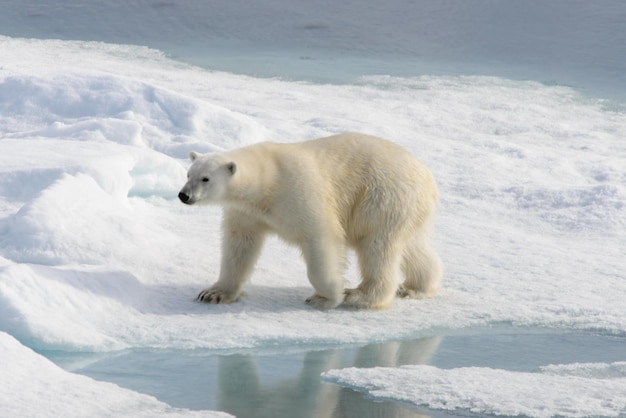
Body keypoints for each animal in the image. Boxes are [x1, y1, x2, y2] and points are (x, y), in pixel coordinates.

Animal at [176, 132, 438, 308]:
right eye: (188, 174)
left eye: (206, 178)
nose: (184, 195)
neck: (267, 180)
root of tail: (428, 177)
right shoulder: (247, 212)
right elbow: (239, 245)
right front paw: (213, 293)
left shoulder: (298, 191)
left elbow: (321, 236)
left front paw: (327, 296)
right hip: (405, 209)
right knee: (413, 247)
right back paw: (414, 288)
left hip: (381, 198)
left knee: (378, 247)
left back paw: (359, 295)